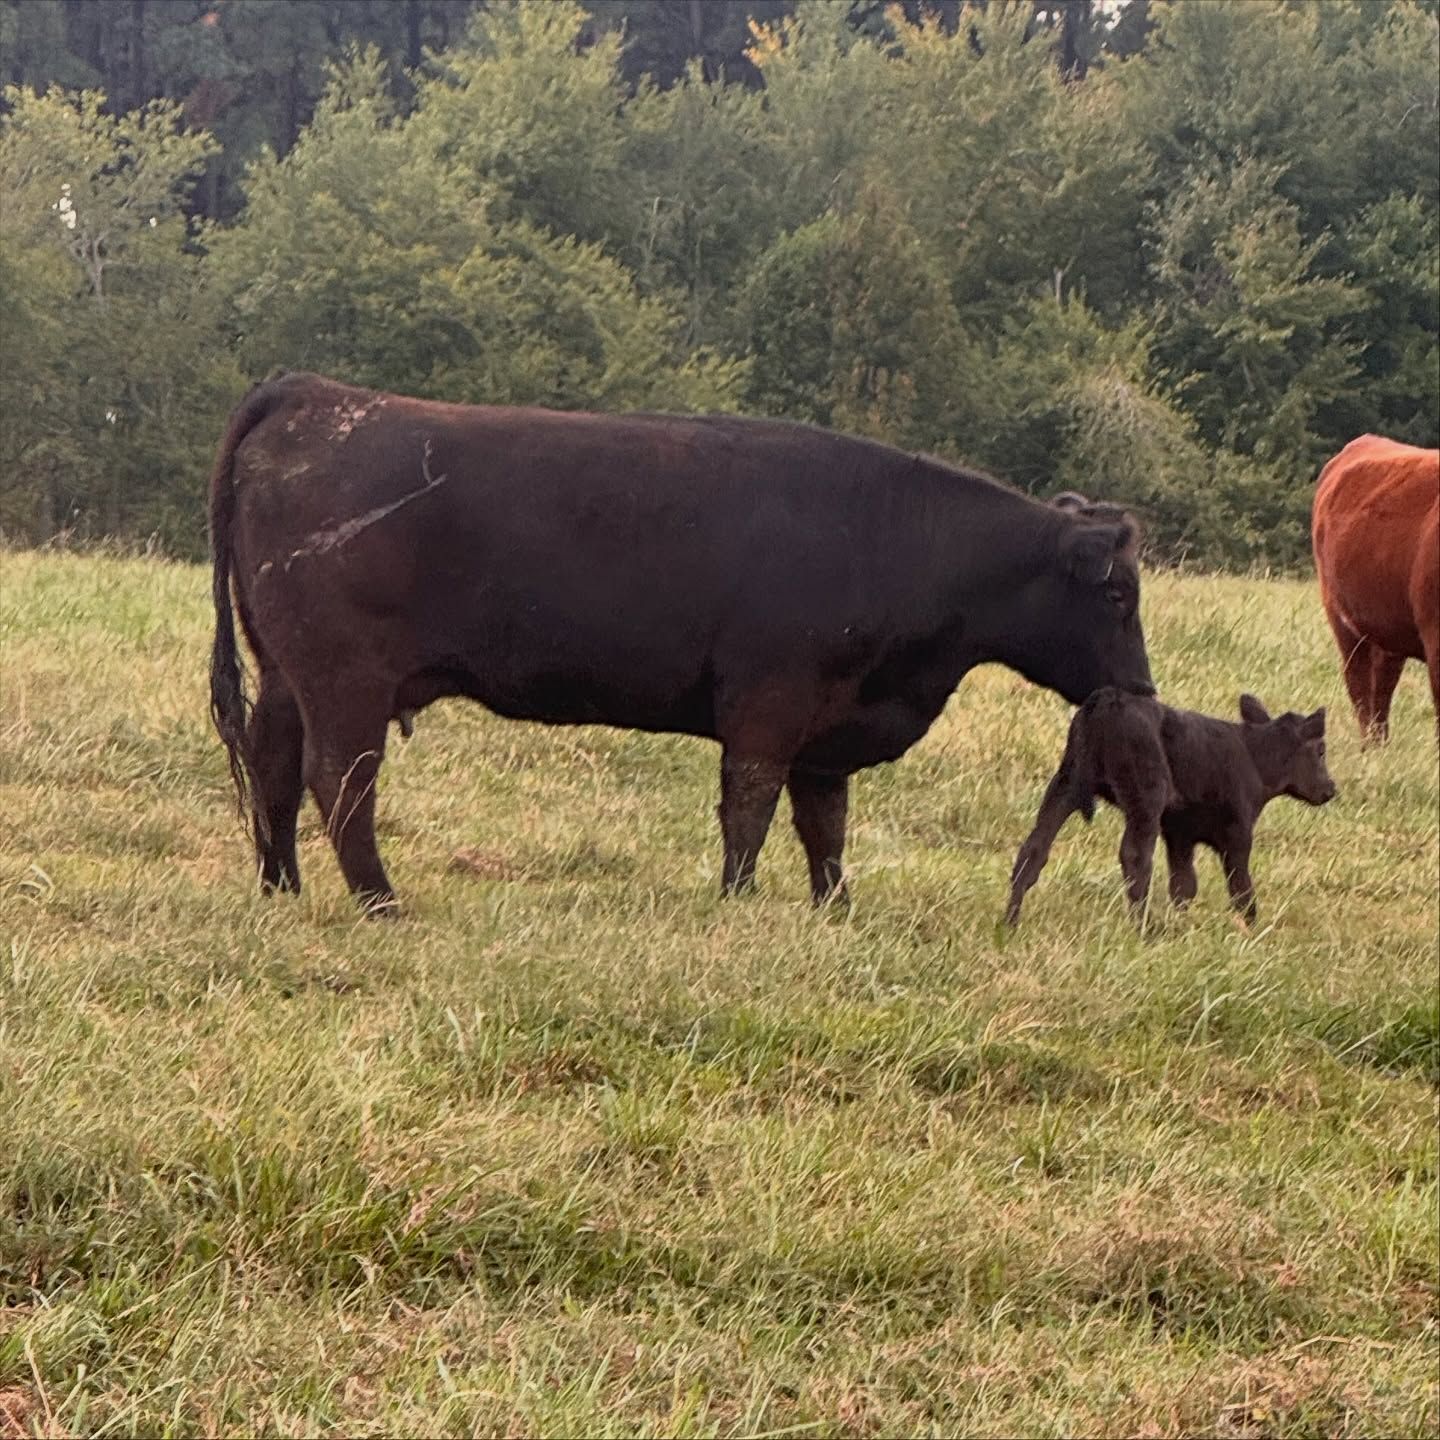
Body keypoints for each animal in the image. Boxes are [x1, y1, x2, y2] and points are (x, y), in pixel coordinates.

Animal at [208, 372, 1155, 915]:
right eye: (1116, 593)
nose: (1145, 693)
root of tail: (312, 394)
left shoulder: (827, 732)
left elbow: (825, 826)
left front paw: (834, 909)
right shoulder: (770, 708)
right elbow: (751, 811)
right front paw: (737, 903)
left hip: (286, 672)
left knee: (274, 764)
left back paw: (280, 887)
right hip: (344, 678)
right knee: (340, 780)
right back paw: (380, 902)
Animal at [1005, 689, 1337, 927]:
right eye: (1321, 751)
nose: (1331, 789)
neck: (1256, 758)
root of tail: (1109, 699)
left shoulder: (1180, 833)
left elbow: (1184, 883)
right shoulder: (1238, 832)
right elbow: (1239, 885)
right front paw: (1252, 929)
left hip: (1067, 782)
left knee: (1034, 848)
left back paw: (1009, 921)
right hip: (1146, 794)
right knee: (1135, 856)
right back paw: (1145, 928)